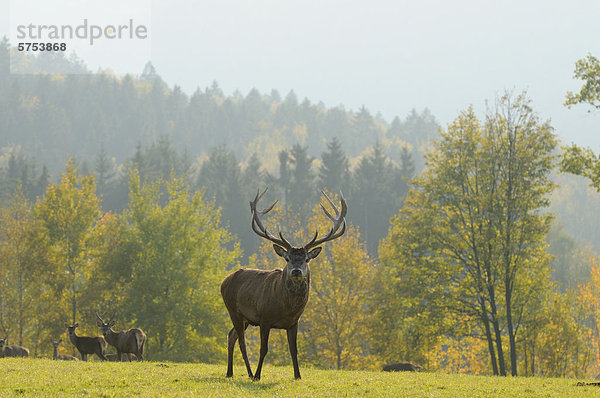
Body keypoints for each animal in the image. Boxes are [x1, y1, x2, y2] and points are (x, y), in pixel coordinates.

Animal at [221, 188, 346, 380]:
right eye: (287, 258)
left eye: (306, 259)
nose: (296, 271)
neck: (286, 308)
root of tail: (224, 281)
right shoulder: (264, 318)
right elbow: (263, 349)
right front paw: (258, 375)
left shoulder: (294, 322)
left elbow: (294, 350)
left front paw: (298, 375)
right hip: (232, 309)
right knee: (241, 341)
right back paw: (249, 373)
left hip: (246, 318)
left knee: (231, 335)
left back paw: (229, 372)